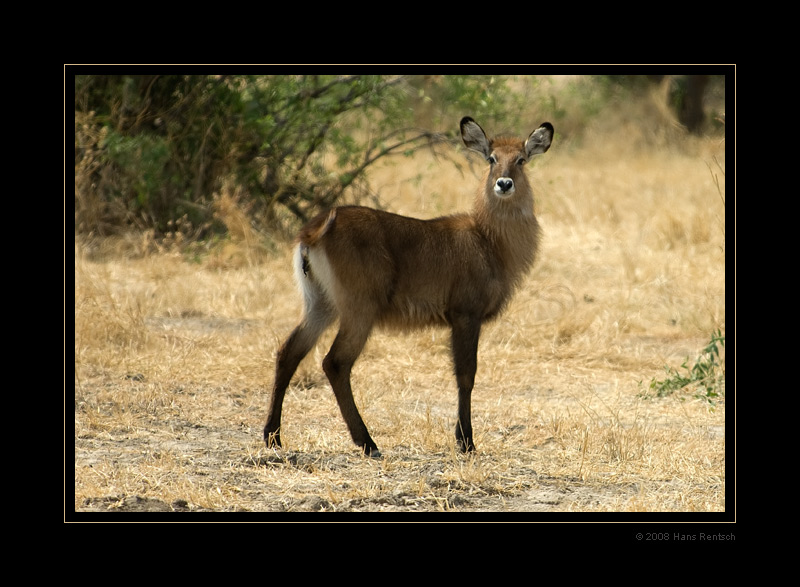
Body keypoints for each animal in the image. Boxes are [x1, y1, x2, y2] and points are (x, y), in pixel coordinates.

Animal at [266, 117, 552, 460]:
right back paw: (367, 442)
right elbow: (466, 375)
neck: (488, 239)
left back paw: (272, 436)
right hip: (359, 309)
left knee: (289, 352)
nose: (504, 184)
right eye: (491, 159)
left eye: (521, 159)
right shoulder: (465, 315)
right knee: (335, 362)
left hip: (320, 304)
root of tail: (316, 229)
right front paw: (466, 442)